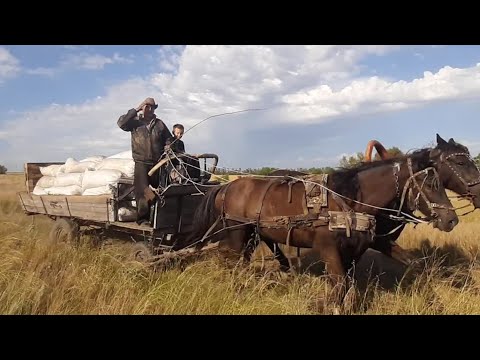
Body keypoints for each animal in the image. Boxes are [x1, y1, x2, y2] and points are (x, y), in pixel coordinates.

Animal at [187, 147, 458, 310]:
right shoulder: (328, 249)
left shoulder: (357, 249)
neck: (349, 200)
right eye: (430, 183)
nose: (451, 220)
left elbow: (349, 284)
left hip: (252, 234)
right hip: (237, 233)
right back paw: (237, 289)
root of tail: (226, 187)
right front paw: (323, 305)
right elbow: (340, 286)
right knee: (229, 259)